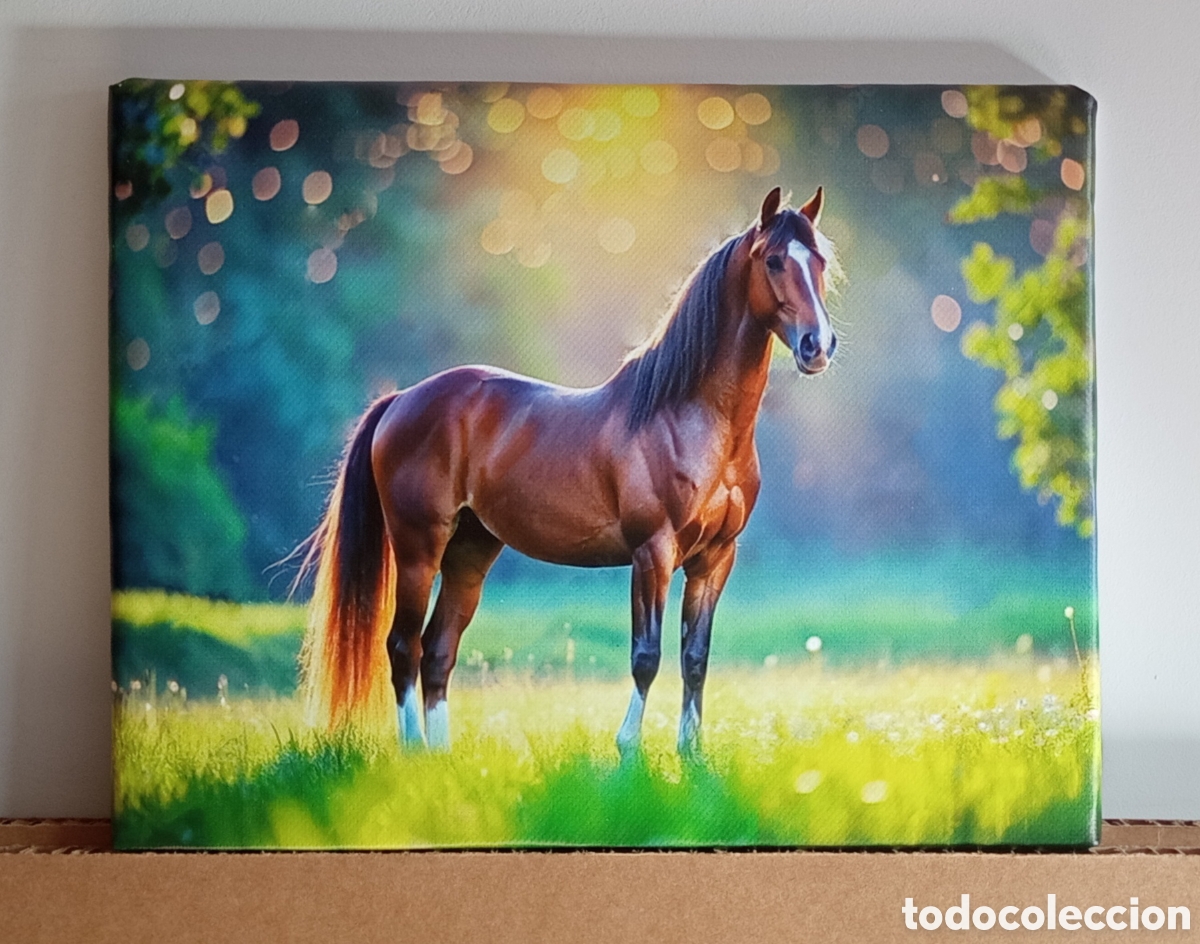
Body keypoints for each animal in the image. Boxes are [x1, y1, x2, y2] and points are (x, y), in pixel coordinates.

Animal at [296, 185, 839, 758]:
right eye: (774, 261)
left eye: (820, 261)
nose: (817, 345)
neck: (689, 416)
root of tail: (401, 399)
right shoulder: (652, 553)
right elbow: (646, 657)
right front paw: (627, 751)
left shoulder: (714, 560)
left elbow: (695, 659)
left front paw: (690, 754)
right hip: (419, 546)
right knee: (403, 645)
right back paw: (416, 754)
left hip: (470, 551)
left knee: (438, 650)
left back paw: (441, 756)